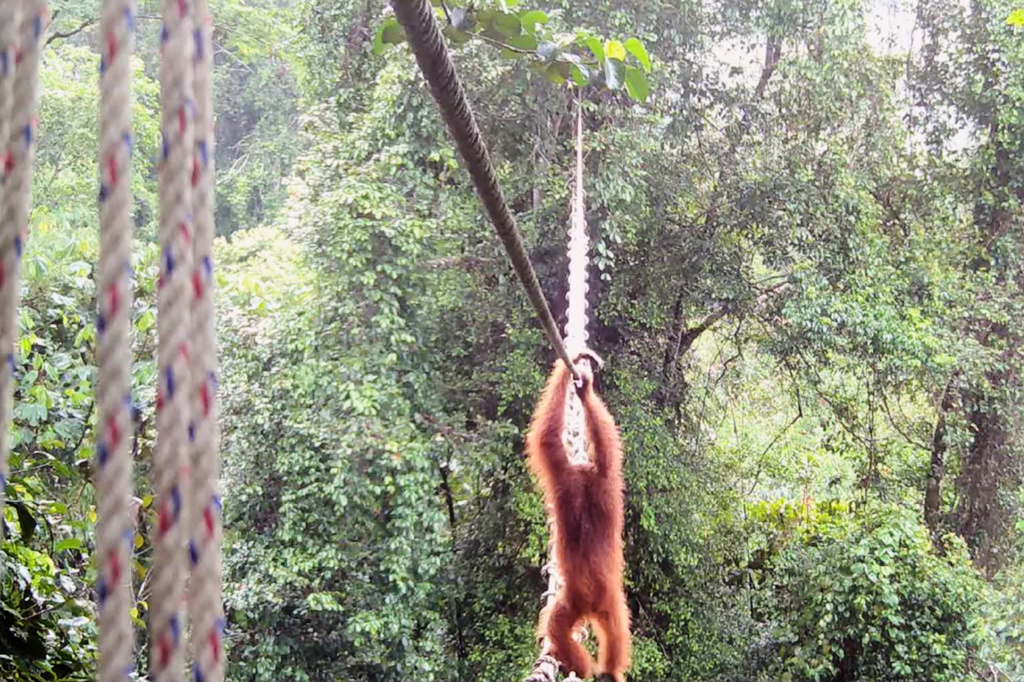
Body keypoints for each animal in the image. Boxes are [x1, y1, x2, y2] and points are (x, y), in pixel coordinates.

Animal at [526, 353, 630, 682]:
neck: (584, 484)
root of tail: (589, 600)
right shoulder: (600, 482)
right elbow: (607, 453)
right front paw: (584, 387)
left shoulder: (569, 476)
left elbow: (549, 439)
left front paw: (581, 386)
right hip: (599, 601)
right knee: (608, 631)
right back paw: (599, 669)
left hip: (581, 601)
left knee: (559, 628)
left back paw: (587, 667)